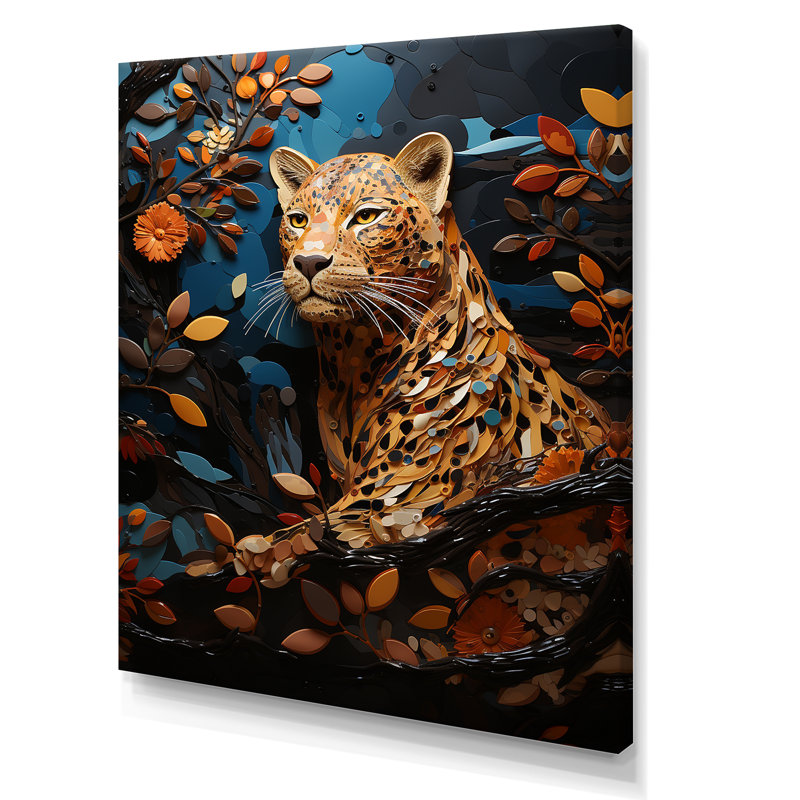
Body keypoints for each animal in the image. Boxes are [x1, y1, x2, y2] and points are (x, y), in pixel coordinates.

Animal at [255, 132, 610, 567]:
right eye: (298, 220)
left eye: (366, 216)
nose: (307, 262)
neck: (356, 361)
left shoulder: (390, 506)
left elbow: (278, 545)